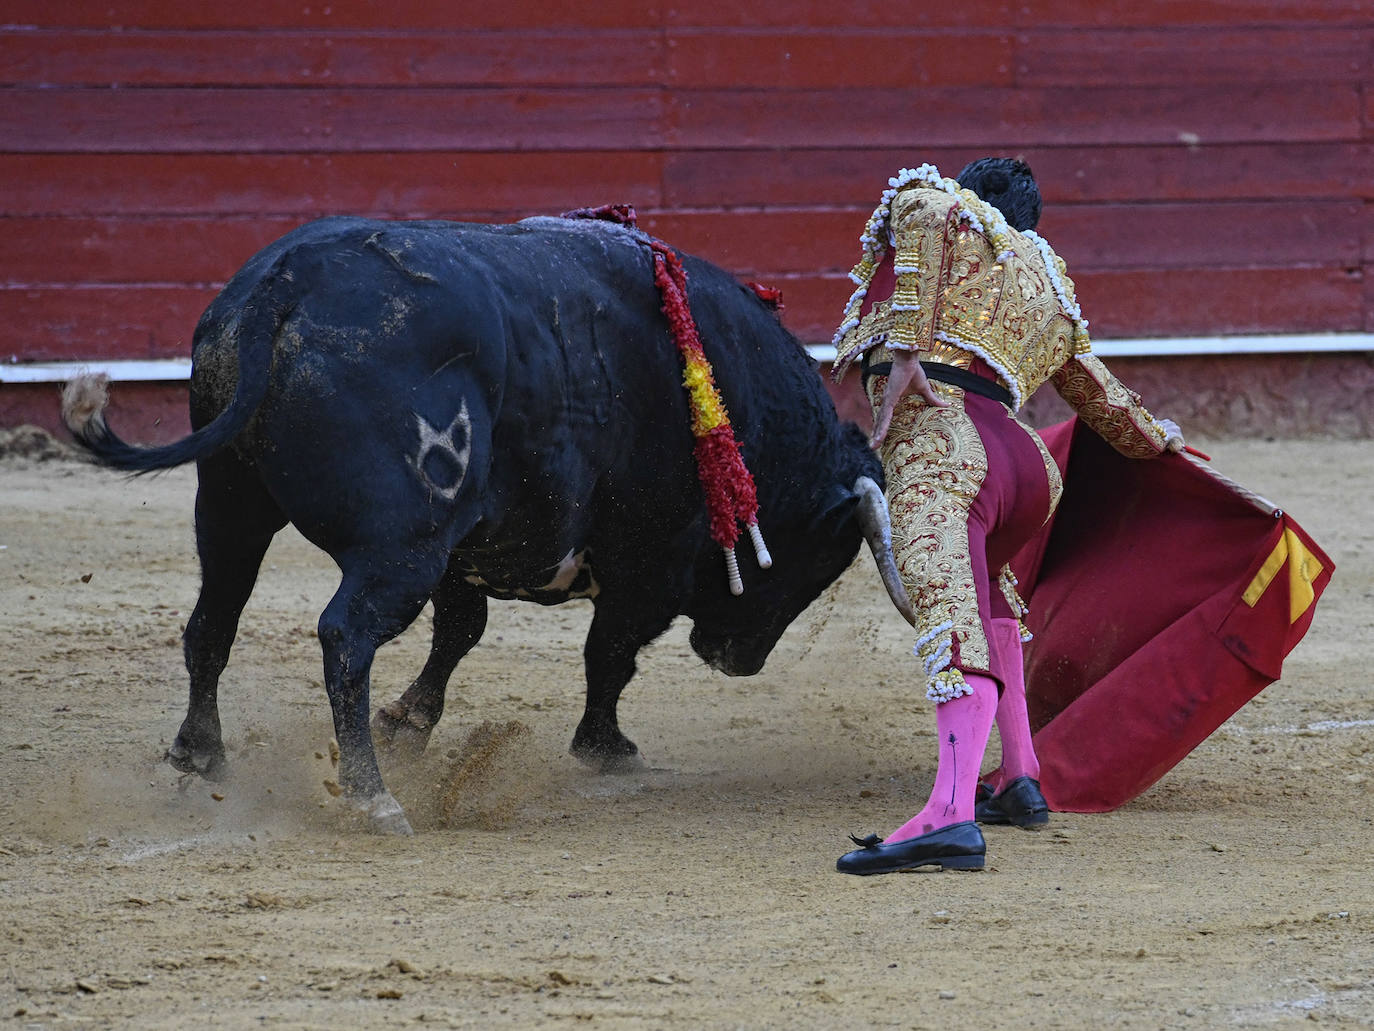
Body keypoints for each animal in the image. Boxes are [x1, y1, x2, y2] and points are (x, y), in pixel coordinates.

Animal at [61, 214, 912, 835]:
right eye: (824, 559)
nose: (737, 660)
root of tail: (287, 281)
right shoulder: (648, 562)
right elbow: (609, 654)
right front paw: (607, 748)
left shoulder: (465, 554)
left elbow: (461, 633)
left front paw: (408, 723)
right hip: (399, 543)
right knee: (344, 635)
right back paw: (373, 798)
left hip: (231, 504)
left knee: (213, 621)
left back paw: (201, 756)